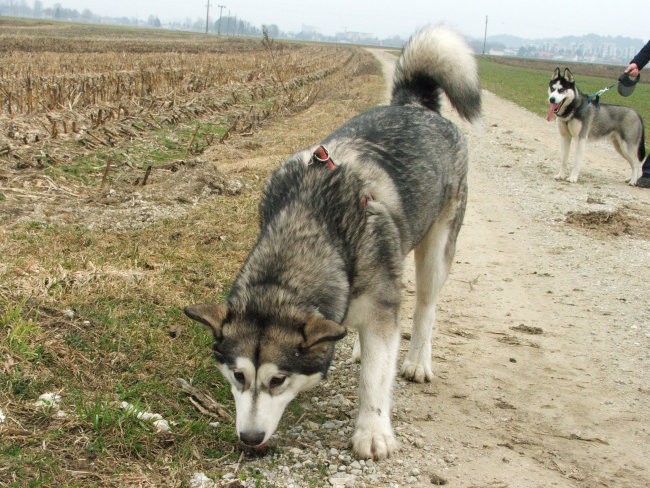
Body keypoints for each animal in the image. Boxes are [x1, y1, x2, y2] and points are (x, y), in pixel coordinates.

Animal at [185, 25, 478, 462]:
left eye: (278, 380)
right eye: (238, 375)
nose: (250, 438)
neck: (309, 224)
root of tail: (415, 106)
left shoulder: (380, 305)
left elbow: (375, 377)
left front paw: (372, 430)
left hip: (438, 245)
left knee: (425, 307)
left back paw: (416, 361)